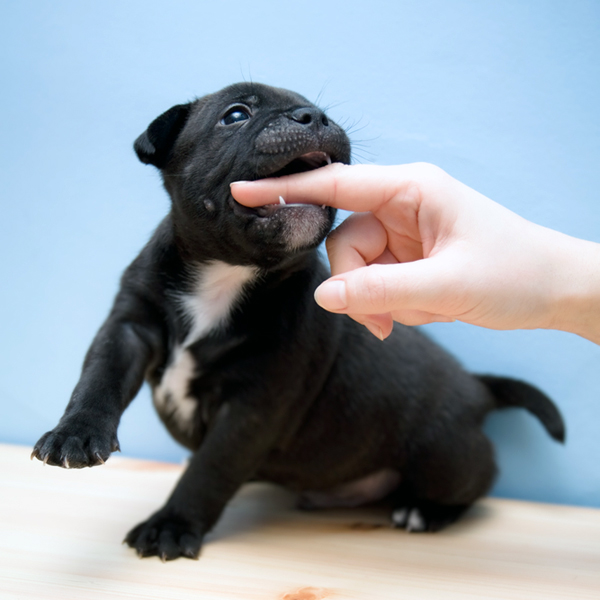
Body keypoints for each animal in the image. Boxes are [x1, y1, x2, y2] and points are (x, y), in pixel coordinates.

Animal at [31, 82, 568, 560]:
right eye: (236, 114)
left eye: (315, 108)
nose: (314, 116)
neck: (227, 275)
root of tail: (477, 386)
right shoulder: (130, 326)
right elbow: (99, 376)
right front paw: (75, 432)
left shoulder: (253, 405)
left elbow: (209, 469)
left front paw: (172, 524)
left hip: (443, 455)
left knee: (478, 482)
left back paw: (426, 510)